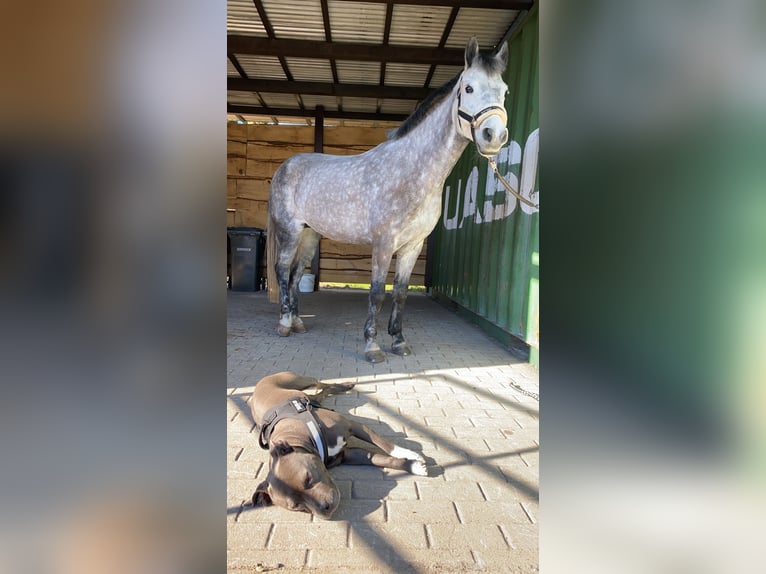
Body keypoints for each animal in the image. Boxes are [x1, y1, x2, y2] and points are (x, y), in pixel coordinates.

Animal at [254, 374, 428, 520]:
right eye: (297, 506)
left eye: (308, 478)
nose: (325, 508)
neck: (300, 435)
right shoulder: (349, 455)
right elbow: (383, 460)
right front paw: (414, 466)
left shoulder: (354, 425)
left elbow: (385, 445)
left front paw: (411, 454)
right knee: (321, 393)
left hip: (299, 379)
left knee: (322, 383)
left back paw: (346, 384)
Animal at [268, 36, 512, 362]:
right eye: (469, 88)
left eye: (505, 92)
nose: (493, 136)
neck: (411, 170)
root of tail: (286, 166)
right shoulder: (383, 243)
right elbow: (376, 293)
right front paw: (372, 346)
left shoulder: (413, 245)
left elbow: (400, 293)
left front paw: (398, 341)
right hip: (289, 231)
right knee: (282, 270)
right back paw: (284, 323)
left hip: (310, 235)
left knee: (296, 274)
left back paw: (296, 322)